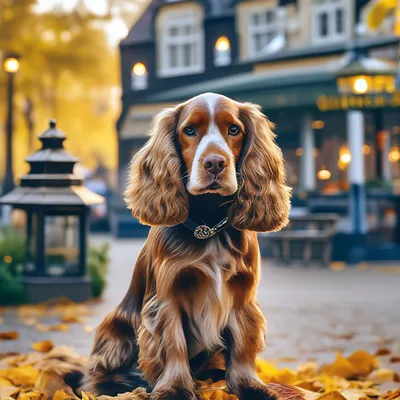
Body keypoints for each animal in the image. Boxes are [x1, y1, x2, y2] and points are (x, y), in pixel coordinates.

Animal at [72, 93, 310, 400]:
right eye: (189, 130)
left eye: (234, 129)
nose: (215, 163)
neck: (208, 226)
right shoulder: (167, 298)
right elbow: (173, 344)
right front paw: (174, 389)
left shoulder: (242, 296)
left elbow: (243, 346)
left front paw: (251, 387)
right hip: (115, 326)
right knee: (95, 375)